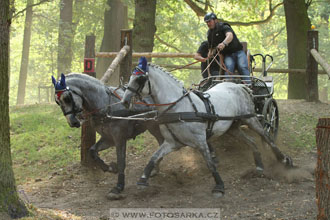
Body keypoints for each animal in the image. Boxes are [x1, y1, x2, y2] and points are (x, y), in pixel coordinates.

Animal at [122, 62, 292, 198]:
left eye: (139, 79)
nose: (125, 101)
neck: (179, 108)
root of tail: (240, 86)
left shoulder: (200, 141)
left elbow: (210, 163)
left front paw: (219, 186)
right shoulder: (171, 143)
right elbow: (153, 157)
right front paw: (143, 179)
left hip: (251, 119)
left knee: (267, 137)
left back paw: (284, 159)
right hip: (233, 128)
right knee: (251, 141)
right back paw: (259, 165)